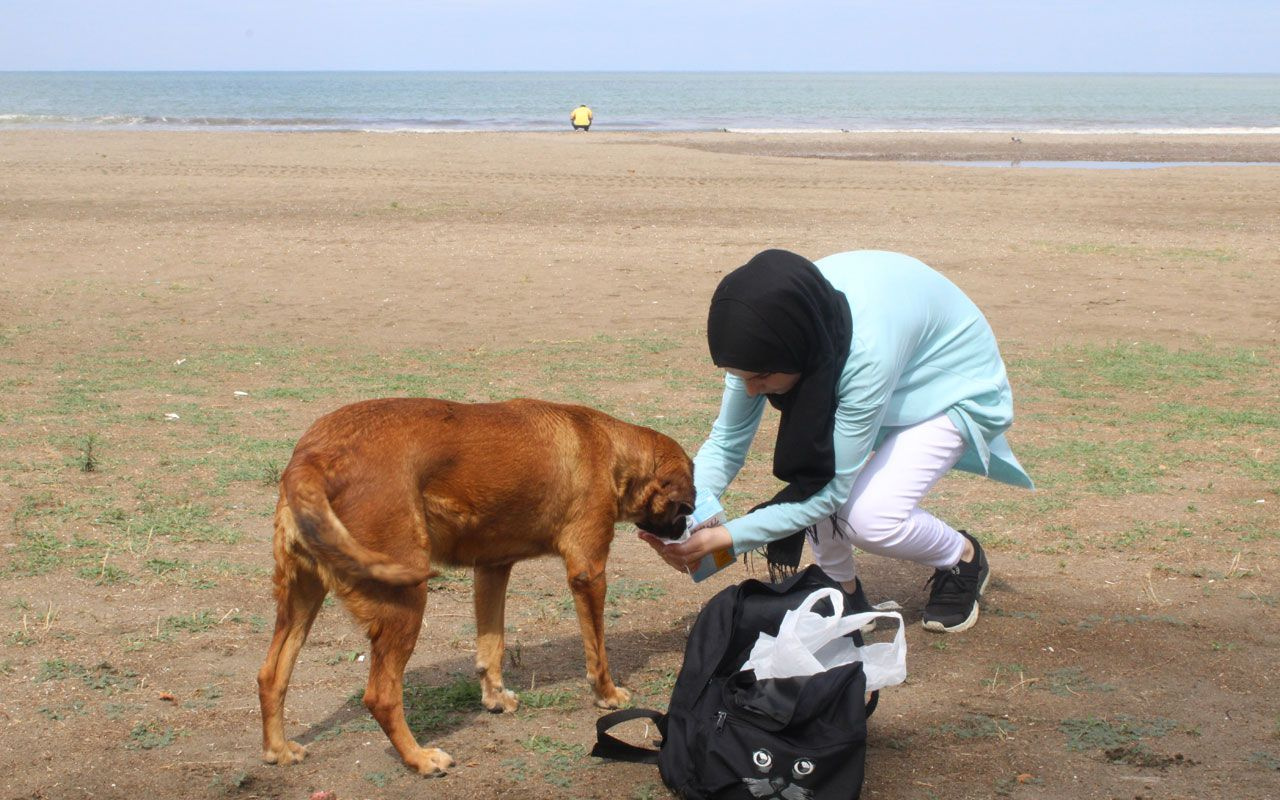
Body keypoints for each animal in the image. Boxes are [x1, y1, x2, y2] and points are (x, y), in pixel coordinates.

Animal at [250, 396, 691, 773]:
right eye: (684, 506)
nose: (686, 529)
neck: (613, 447)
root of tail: (311, 456)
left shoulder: (492, 569)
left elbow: (491, 646)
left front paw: (494, 698)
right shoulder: (588, 571)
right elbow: (597, 651)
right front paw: (607, 695)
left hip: (301, 595)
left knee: (271, 674)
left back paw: (278, 750)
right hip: (405, 601)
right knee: (381, 696)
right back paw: (419, 758)